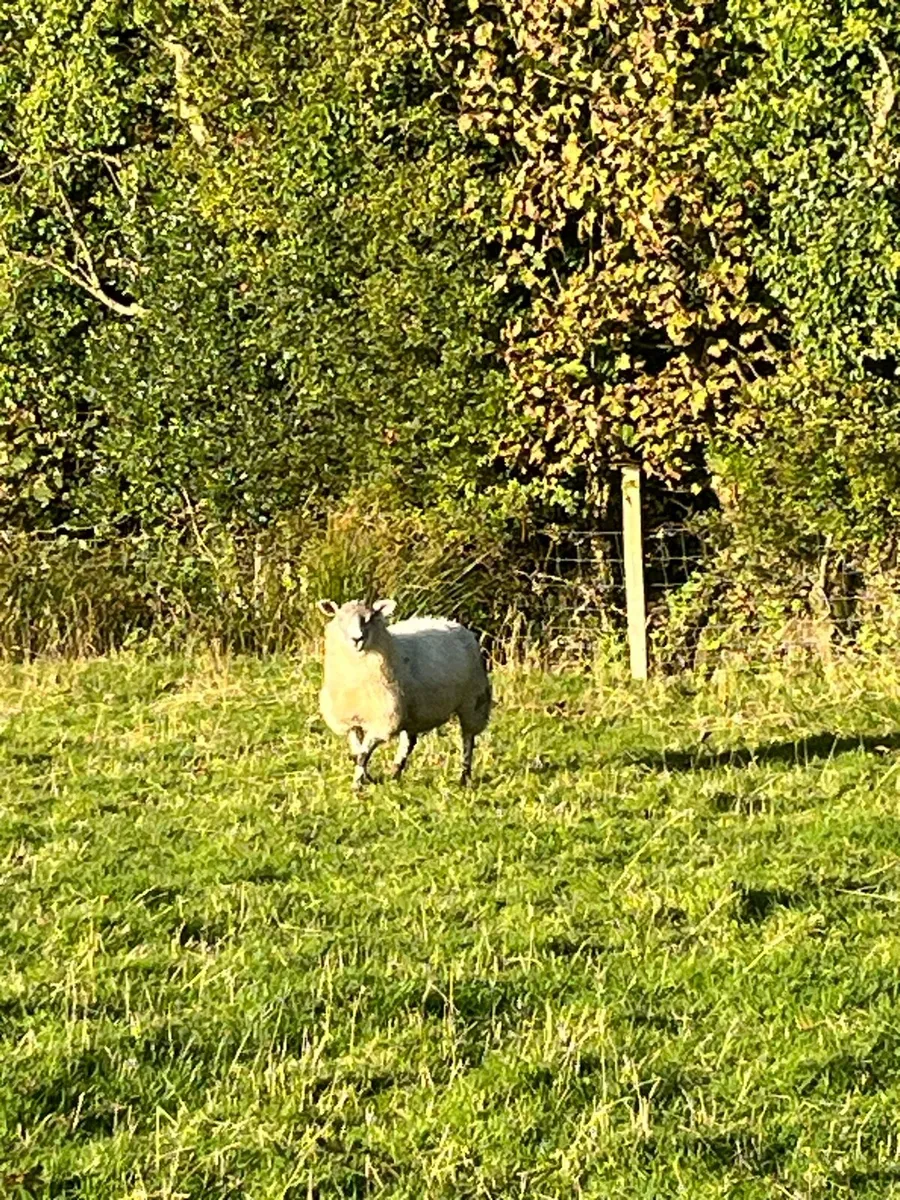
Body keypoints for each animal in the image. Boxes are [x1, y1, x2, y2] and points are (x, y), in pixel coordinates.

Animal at [317, 598, 492, 789]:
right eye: (340, 618)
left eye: (369, 618)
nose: (357, 639)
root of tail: (453, 623)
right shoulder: (350, 720)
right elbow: (358, 754)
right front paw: (365, 779)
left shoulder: (384, 720)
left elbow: (363, 755)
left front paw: (357, 786)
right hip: (413, 713)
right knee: (408, 743)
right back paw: (395, 774)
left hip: (473, 700)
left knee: (468, 739)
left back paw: (464, 777)